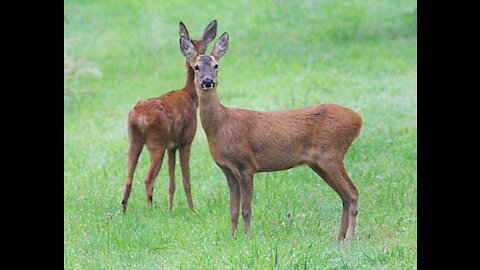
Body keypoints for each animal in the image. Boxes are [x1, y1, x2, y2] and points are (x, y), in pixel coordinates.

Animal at [120, 20, 218, 212]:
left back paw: (123, 211)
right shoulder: (186, 140)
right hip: (156, 141)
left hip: (134, 139)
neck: (190, 95)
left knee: (128, 179)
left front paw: (170, 208)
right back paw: (150, 209)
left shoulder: (171, 146)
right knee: (148, 178)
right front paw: (191, 209)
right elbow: (186, 179)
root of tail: (138, 117)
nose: (207, 79)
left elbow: (171, 181)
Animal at [180, 32, 364, 243]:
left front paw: (248, 237)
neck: (222, 125)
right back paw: (339, 237)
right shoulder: (228, 170)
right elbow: (232, 210)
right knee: (344, 196)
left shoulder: (246, 165)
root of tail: (358, 119)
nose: (208, 81)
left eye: (216, 65)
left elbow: (246, 209)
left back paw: (348, 239)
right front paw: (233, 237)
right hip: (319, 162)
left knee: (352, 192)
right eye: (196, 67)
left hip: (331, 154)